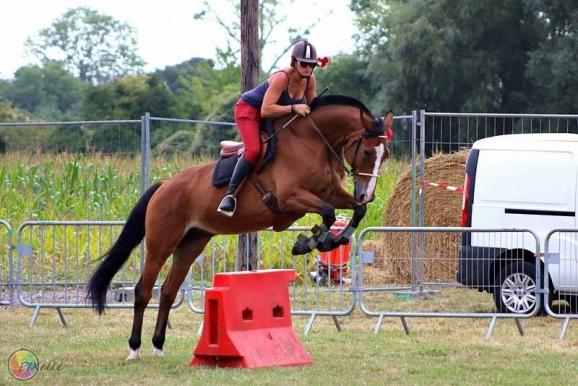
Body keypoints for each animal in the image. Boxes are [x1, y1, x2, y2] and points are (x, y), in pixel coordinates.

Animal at [86, 95, 392, 360]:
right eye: (367, 151)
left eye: (386, 155)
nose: (368, 194)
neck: (313, 142)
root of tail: (164, 186)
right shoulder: (290, 198)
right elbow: (328, 213)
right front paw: (311, 241)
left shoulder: (333, 193)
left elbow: (354, 211)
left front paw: (330, 239)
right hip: (161, 242)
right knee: (143, 291)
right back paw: (134, 348)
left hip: (192, 243)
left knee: (169, 292)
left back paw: (158, 346)